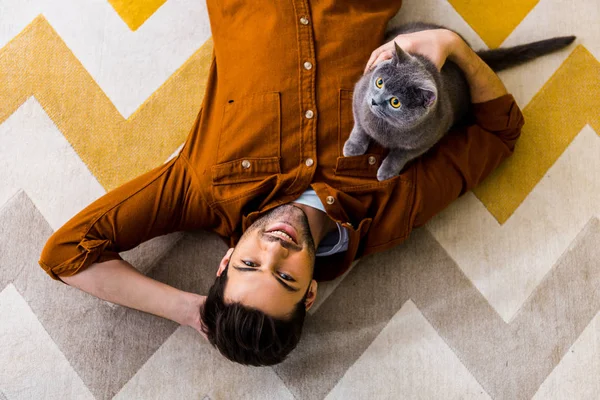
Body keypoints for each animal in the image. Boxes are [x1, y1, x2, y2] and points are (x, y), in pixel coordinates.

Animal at [342, 22, 576, 182]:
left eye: (395, 102)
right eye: (379, 82)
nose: (374, 101)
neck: (385, 128)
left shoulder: (427, 139)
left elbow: (401, 154)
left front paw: (387, 170)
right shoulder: (359, 94)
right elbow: (359, 127)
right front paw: (352, 147)